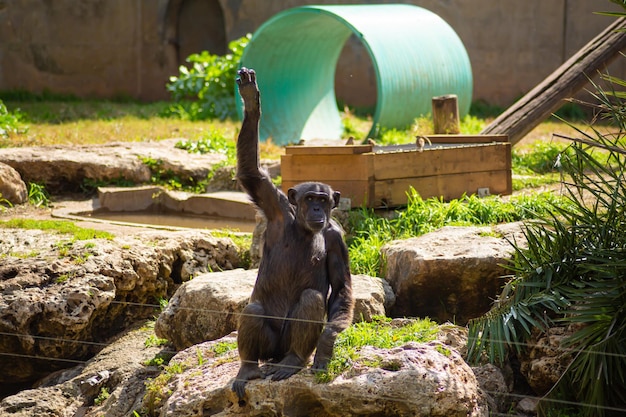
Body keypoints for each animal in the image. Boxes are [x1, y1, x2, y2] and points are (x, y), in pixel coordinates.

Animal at [232, 66, 354, 398]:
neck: (300, 226)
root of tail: (276, 357)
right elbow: (251, 173)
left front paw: (326, 346)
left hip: (286, 346)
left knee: (311, 300)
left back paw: (294, 361)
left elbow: (341, 288)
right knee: (254, 309)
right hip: (270, 346)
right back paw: (248, 368)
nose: (317, 211)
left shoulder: (337, 239)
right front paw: (251, 101)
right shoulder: (273, 206)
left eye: (323, 200)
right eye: (310, 199)